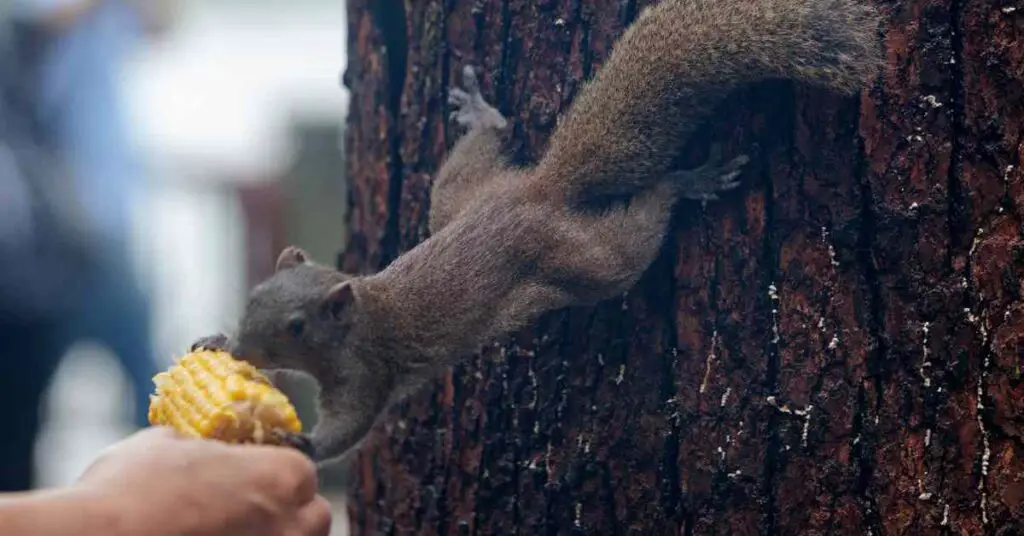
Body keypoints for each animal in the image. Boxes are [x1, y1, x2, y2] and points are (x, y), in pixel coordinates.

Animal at [190, 0, 880, 465]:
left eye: (297, 327)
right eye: (252, 298)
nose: (243, 349)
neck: (358, 318)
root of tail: (538, 190)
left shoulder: (366, 374)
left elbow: (348, 427)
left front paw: (298, 441)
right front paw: (214, 342)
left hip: (583, 259)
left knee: (633, 234)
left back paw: (685, 183)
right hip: (458, 195)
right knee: (486, 144)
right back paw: (479, 112)